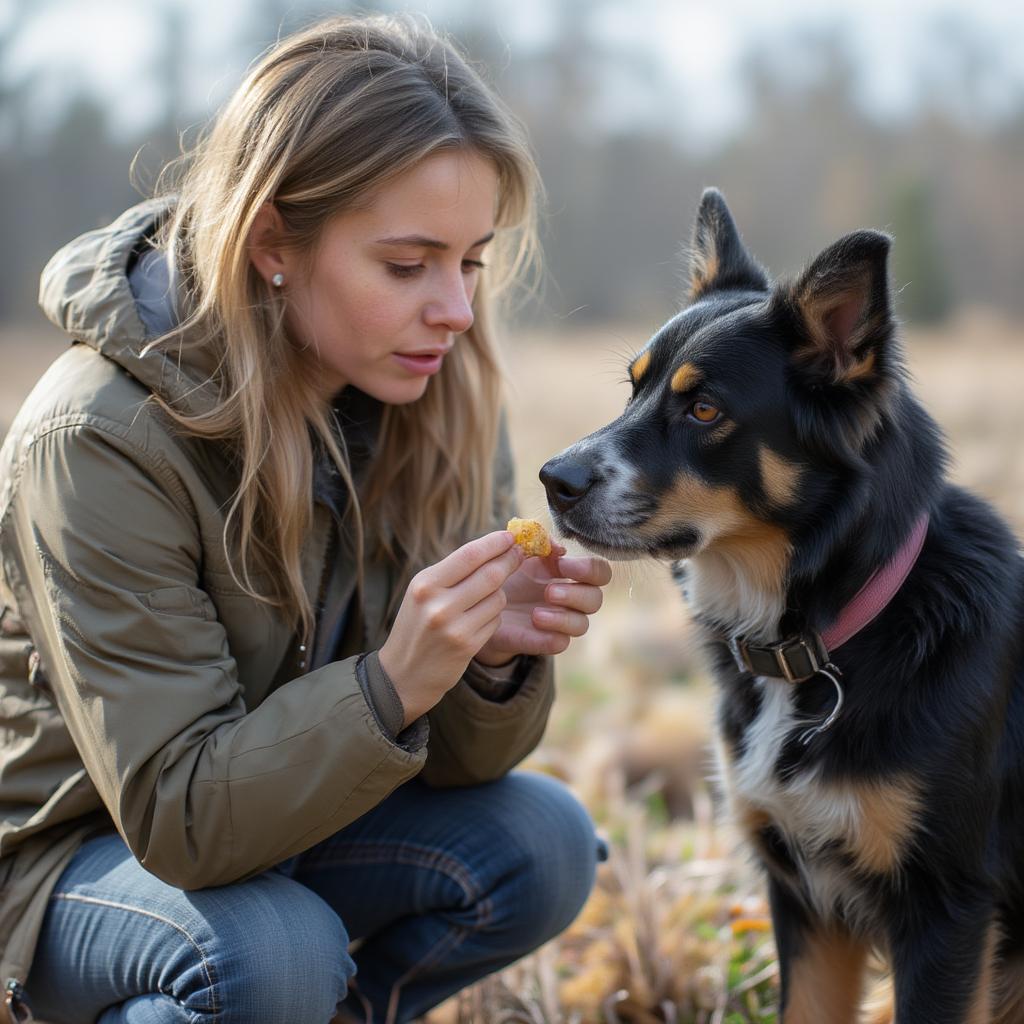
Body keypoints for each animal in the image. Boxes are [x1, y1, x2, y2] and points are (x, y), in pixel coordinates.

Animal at [540, 188, 1024, 1019]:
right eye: (634, 387)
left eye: (703, 409)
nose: (553, 480)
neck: (829, 634)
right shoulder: (802, 897)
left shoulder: (948, 910)